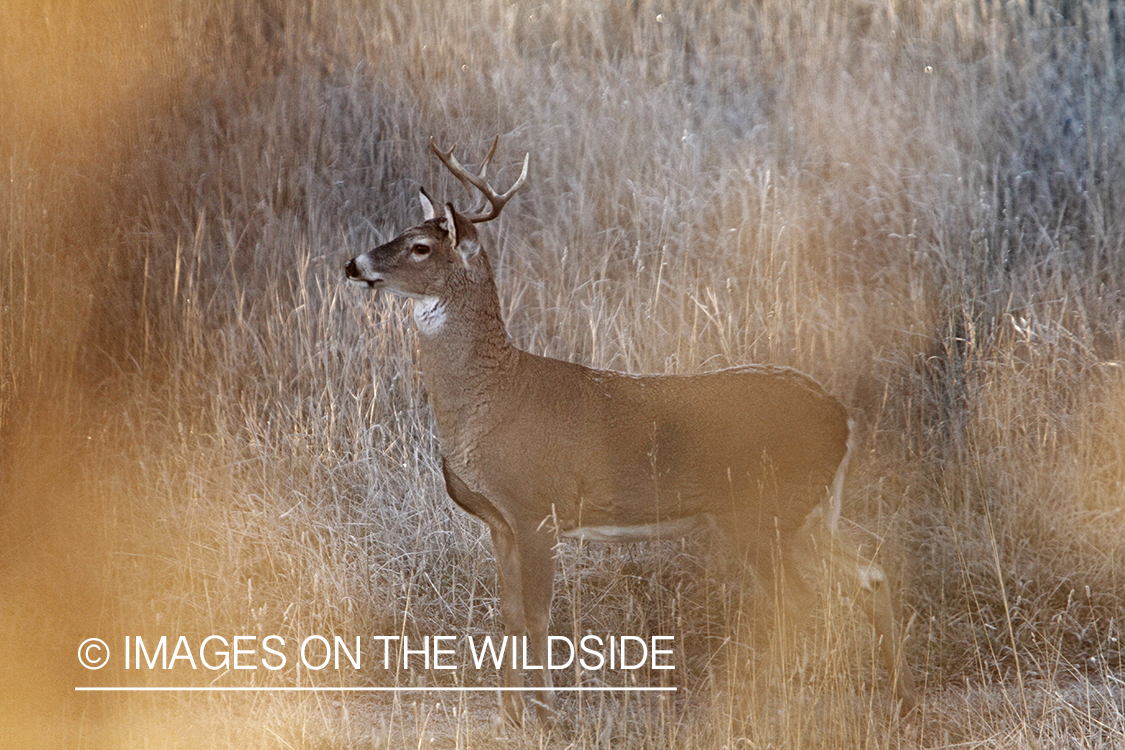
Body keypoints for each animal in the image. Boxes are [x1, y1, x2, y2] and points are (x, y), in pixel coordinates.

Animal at [346, 136, 918, 728]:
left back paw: (763, 708)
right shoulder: (500, 523)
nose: (353, 264)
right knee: (869, 573)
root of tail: (843, 418)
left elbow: (538, 615)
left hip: (765, 512)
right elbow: (510, 614)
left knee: (802, 603)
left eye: (419, 247)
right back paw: (902, 701)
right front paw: (511, 714)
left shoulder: (538, 510)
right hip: (807, 512)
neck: (495, 395)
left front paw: (545, 713)